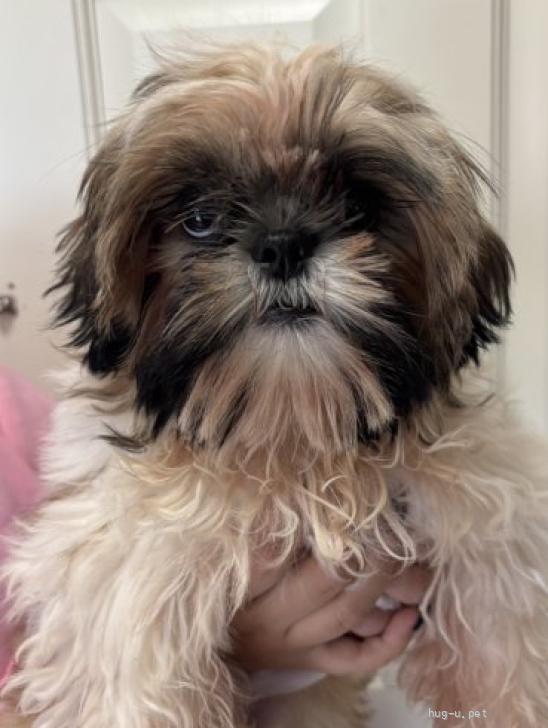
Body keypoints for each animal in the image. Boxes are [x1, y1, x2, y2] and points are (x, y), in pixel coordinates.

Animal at [2, 42, 548, 728]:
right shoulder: (114, 556)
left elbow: (503, 620)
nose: (283, 244)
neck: (295, 439)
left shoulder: (486, 491)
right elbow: (130, 653)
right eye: (200, 220)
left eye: (358, 206)